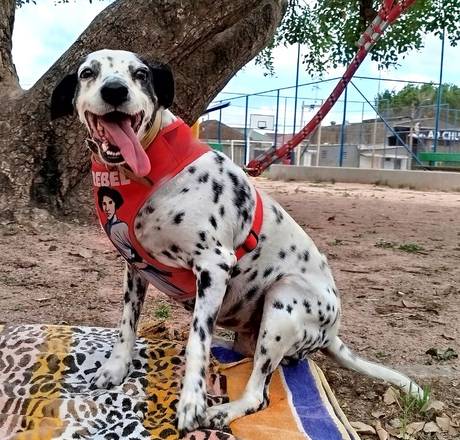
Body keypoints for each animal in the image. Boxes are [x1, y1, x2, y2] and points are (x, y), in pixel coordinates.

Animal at [50, 49, 423, 434]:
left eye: (140, 74)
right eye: (88, 73)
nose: (115, 90)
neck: (143, 171)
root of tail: (332, 331)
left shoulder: (214, 265)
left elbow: (197, 344)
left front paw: (192, 402)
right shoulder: (135, 266)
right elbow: (127, 323)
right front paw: (116, 367)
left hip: (284, 299)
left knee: (259, 395)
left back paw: (222, 411)